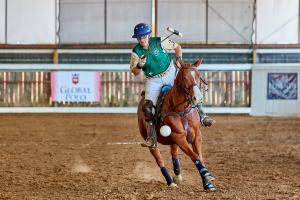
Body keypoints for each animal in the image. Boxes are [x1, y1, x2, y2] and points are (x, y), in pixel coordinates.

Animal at [137, 59, 217, 191]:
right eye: (185, 77)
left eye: (198, 76)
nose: (198, 98)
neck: (180, 109)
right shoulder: (178, 136)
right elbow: (194, 156)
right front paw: (207, 176)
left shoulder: (197, 135)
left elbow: (199, 156)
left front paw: (207, 182)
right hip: (152, 141)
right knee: (159, 159)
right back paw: (170, 181)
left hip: (172, 142)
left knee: (174, 154)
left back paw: (177, 176)